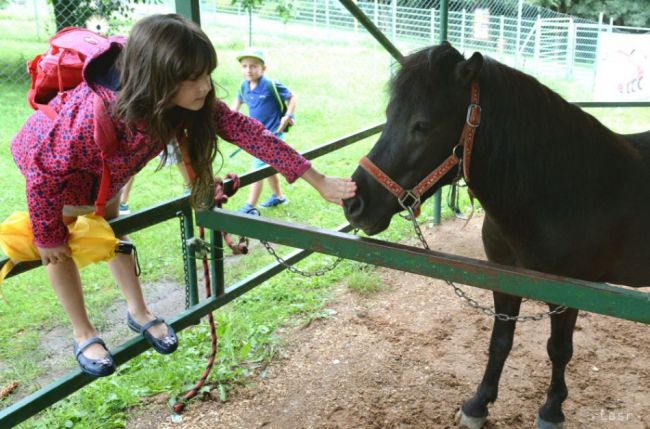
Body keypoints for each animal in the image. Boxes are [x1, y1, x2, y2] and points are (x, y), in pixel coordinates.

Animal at [342, 41, 644, 428]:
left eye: (421, 126)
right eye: (389, 114)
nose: (355, 202)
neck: (566, 192)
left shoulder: (569, 293)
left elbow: (559, 350)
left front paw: (551, 410)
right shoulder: (504, 277)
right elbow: (500, 340)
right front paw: (478, 403)